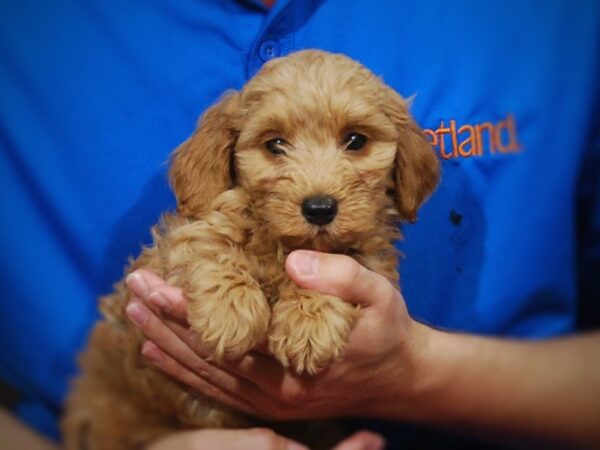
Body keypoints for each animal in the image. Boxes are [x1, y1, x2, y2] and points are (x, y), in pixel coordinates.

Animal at [61, 50, 438, 450]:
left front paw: (310, 321)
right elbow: (208, 248)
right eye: (275, 144)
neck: (280, 243)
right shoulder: (176, 242)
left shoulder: (372, 258)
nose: (319, 208)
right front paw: (230, 311)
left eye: (355, 140)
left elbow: (336, 264)